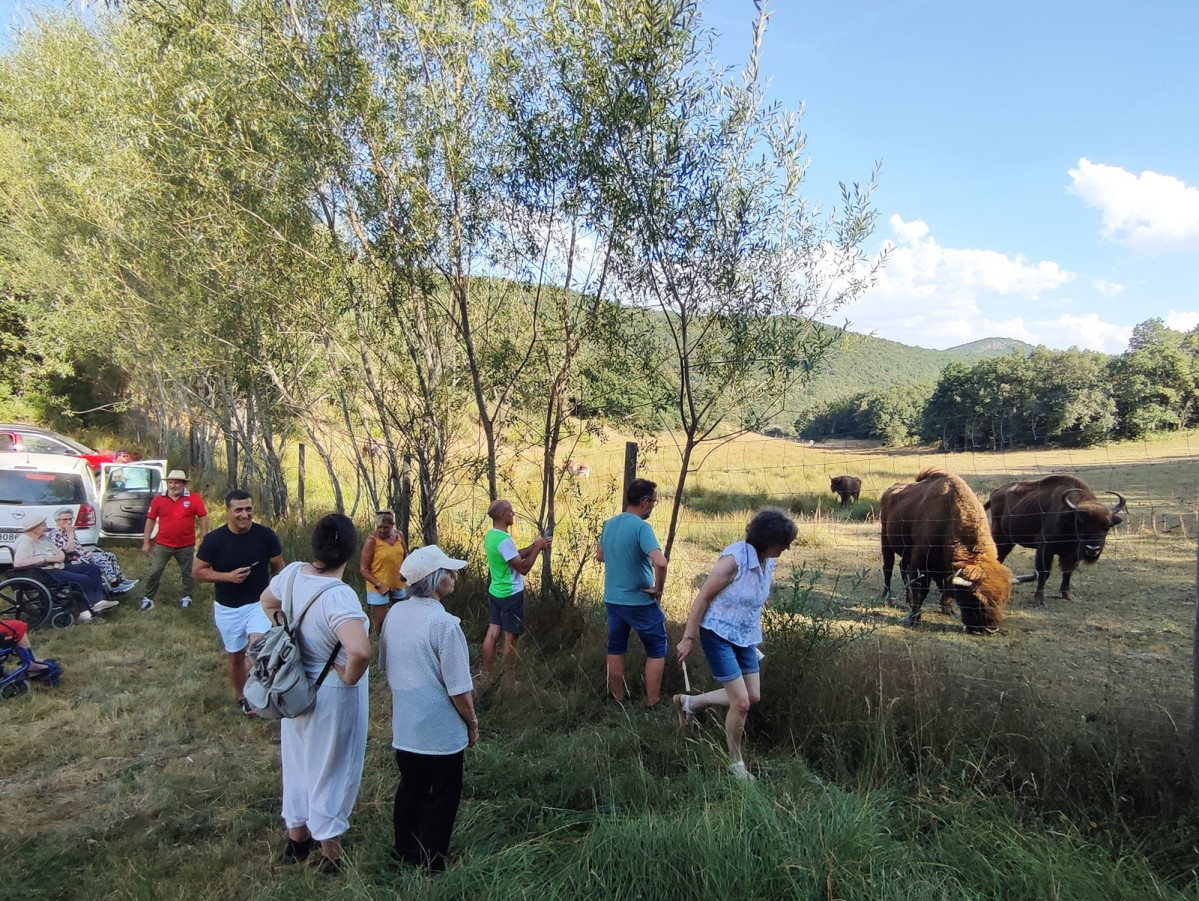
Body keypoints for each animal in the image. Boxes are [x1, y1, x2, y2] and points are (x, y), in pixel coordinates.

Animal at [882, 467, 1011, 638]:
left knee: (902, 568)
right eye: (975, 599)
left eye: (1003, 599)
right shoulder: (921, 564)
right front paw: (915, 620)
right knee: (888, 568)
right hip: (886, 542)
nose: (990, 629)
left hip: (905, 552)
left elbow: (946, 589)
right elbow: (921, 591)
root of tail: (890, 490)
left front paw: (947, 609)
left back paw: (907, 599)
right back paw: (887, 598)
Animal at [983, 472, 1122, 607]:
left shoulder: (1072, 554)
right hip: (999, 537)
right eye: (1080, 523)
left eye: (1107, 527)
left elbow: (1068, 572)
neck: (1068, 516)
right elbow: (1044, 573)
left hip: (1009, 541)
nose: (1093, 549)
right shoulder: (1045, 549)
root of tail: (995, 493)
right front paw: (1039, 599)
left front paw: (1067, 595)